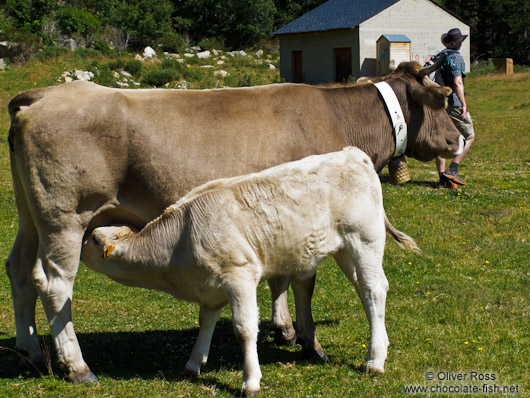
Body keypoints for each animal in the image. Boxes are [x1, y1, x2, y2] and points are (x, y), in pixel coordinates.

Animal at [82, 148, 416, 396]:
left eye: (92, 239)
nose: (78, 240)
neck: (181, 240)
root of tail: (353, 154)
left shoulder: (239, 276)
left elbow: (244, 329)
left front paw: (250, 381)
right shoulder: (210, 288)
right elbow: (205, 323)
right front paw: (193, 365)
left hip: (365, 240)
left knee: (374, 289)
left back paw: (374, 360)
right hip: (344, 250)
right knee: (366, 293)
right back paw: (381, 345)